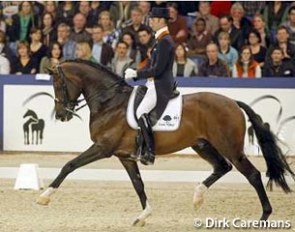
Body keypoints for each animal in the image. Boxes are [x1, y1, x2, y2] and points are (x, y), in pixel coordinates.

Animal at [37, 59, 295, 226]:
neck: (110, 102)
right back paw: (197, 197)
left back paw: (263, 217)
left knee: (252, 174)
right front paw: (143, 216)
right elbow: (138, 185)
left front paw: (44, 196)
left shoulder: (103, 148)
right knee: (222, 167)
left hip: (229, 147)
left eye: (58, 85)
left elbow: (69, 165)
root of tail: (232, 102)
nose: (61, 115)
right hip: (202, 145)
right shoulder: (124, 156)